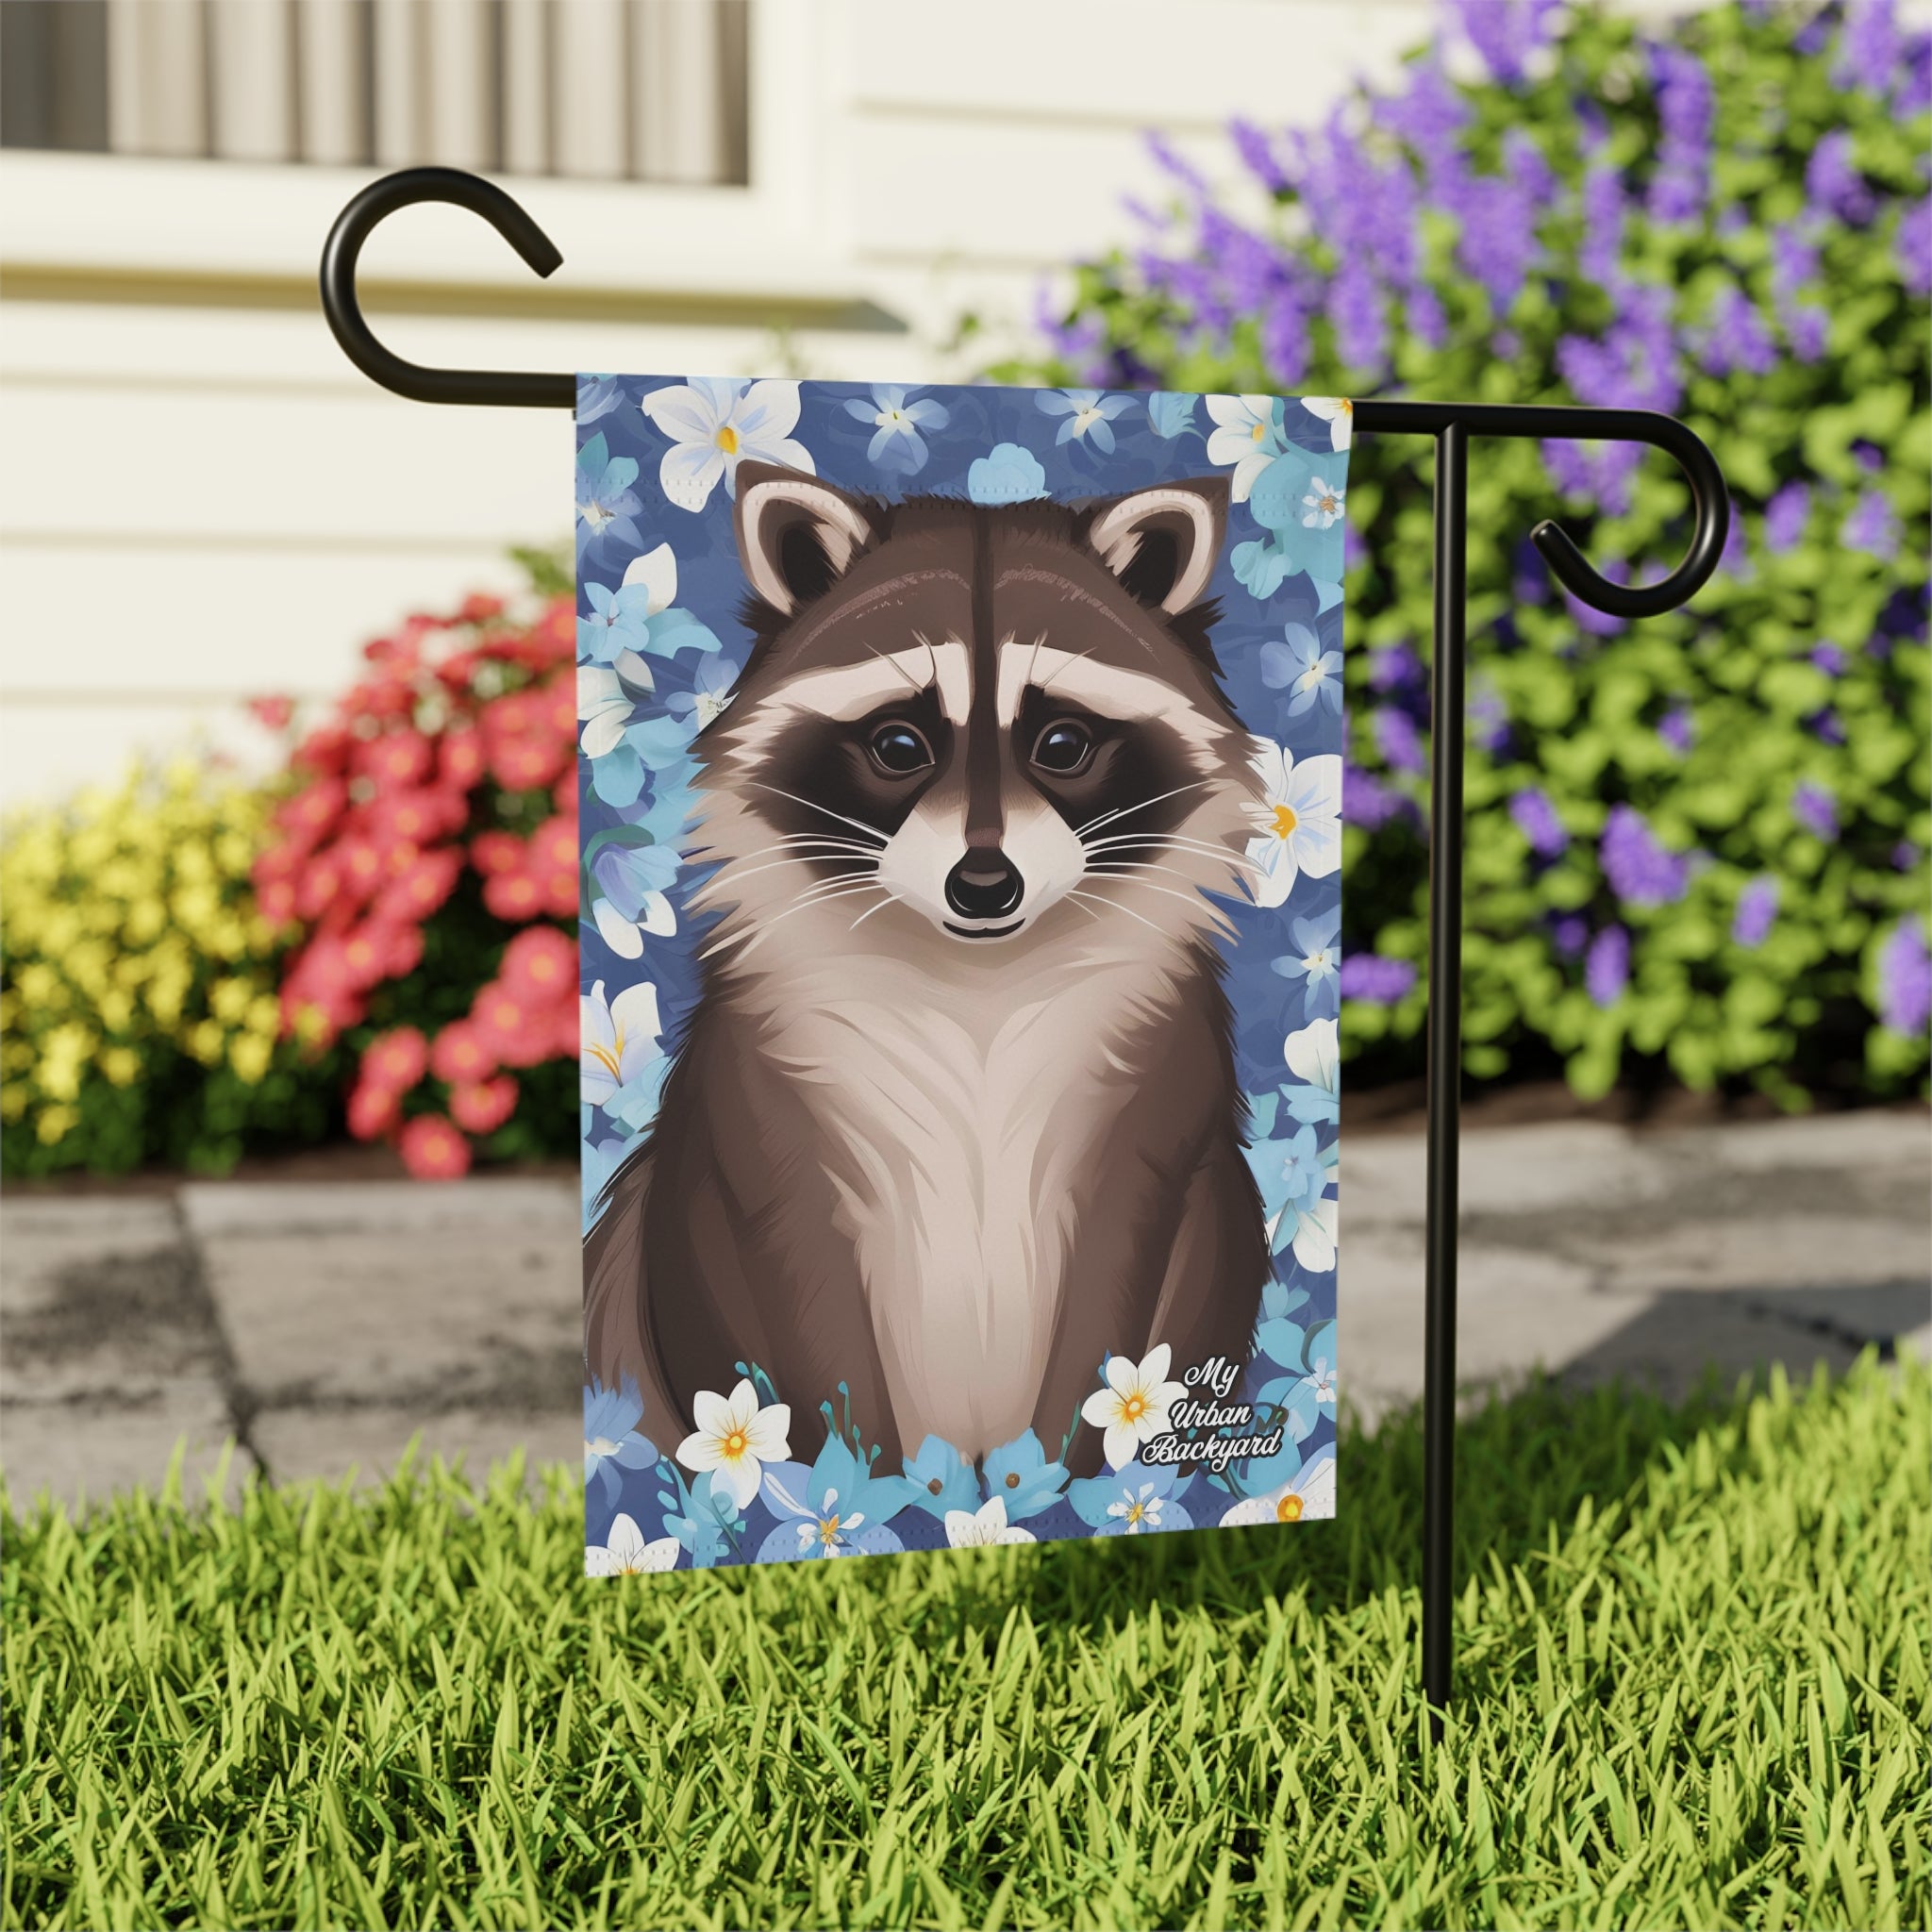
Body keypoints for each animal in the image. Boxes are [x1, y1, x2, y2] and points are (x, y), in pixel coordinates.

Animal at [585, 460, 1271, 1477]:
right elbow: (795, 1301)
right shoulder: (760, 1117)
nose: (983, 884)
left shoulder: (1155, 1117)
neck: (976, 981)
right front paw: (863, 1482)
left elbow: (1118, 1319)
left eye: (1061, 744)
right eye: (898, 746)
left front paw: (1055, 1477)